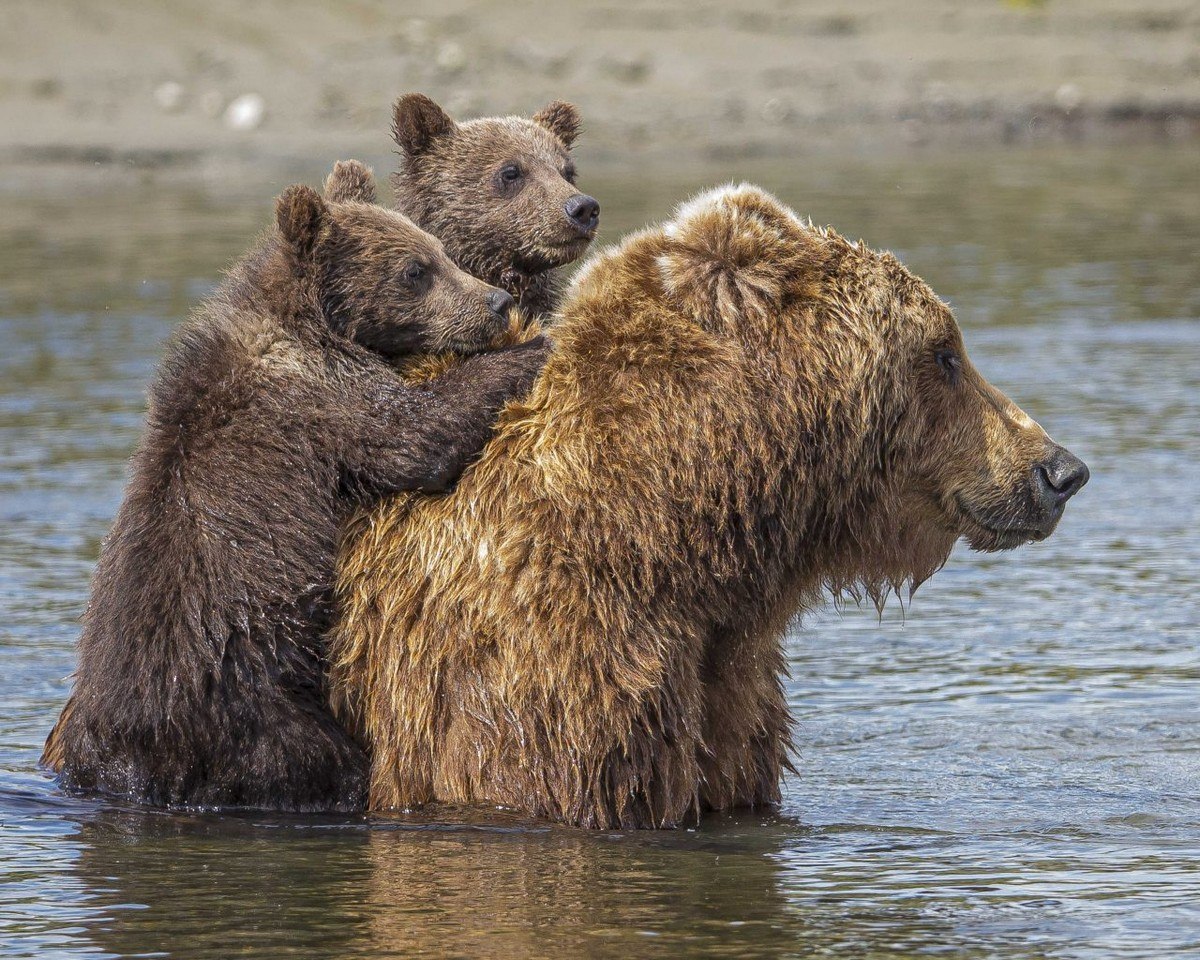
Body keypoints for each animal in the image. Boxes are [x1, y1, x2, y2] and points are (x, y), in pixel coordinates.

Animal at [42, 160, 549, 806]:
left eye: (439, 250)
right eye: (416, 270)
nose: (496, 300)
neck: (305, 324)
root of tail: (121, 749)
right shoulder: (321, 396)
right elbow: (412, 434)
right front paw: (532, 347)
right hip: (253, 707)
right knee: (322, 763)